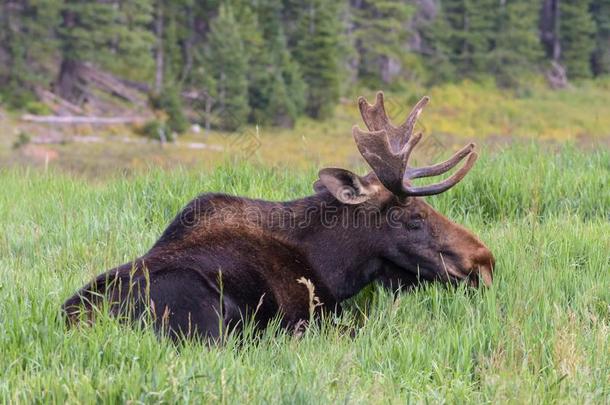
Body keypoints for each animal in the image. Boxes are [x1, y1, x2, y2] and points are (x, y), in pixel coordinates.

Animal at [61, 92, 492, 340]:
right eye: (413, 217)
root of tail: (73, 324)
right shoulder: (309, 316)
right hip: (204, 314)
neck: (334, 266)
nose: (484, 261)